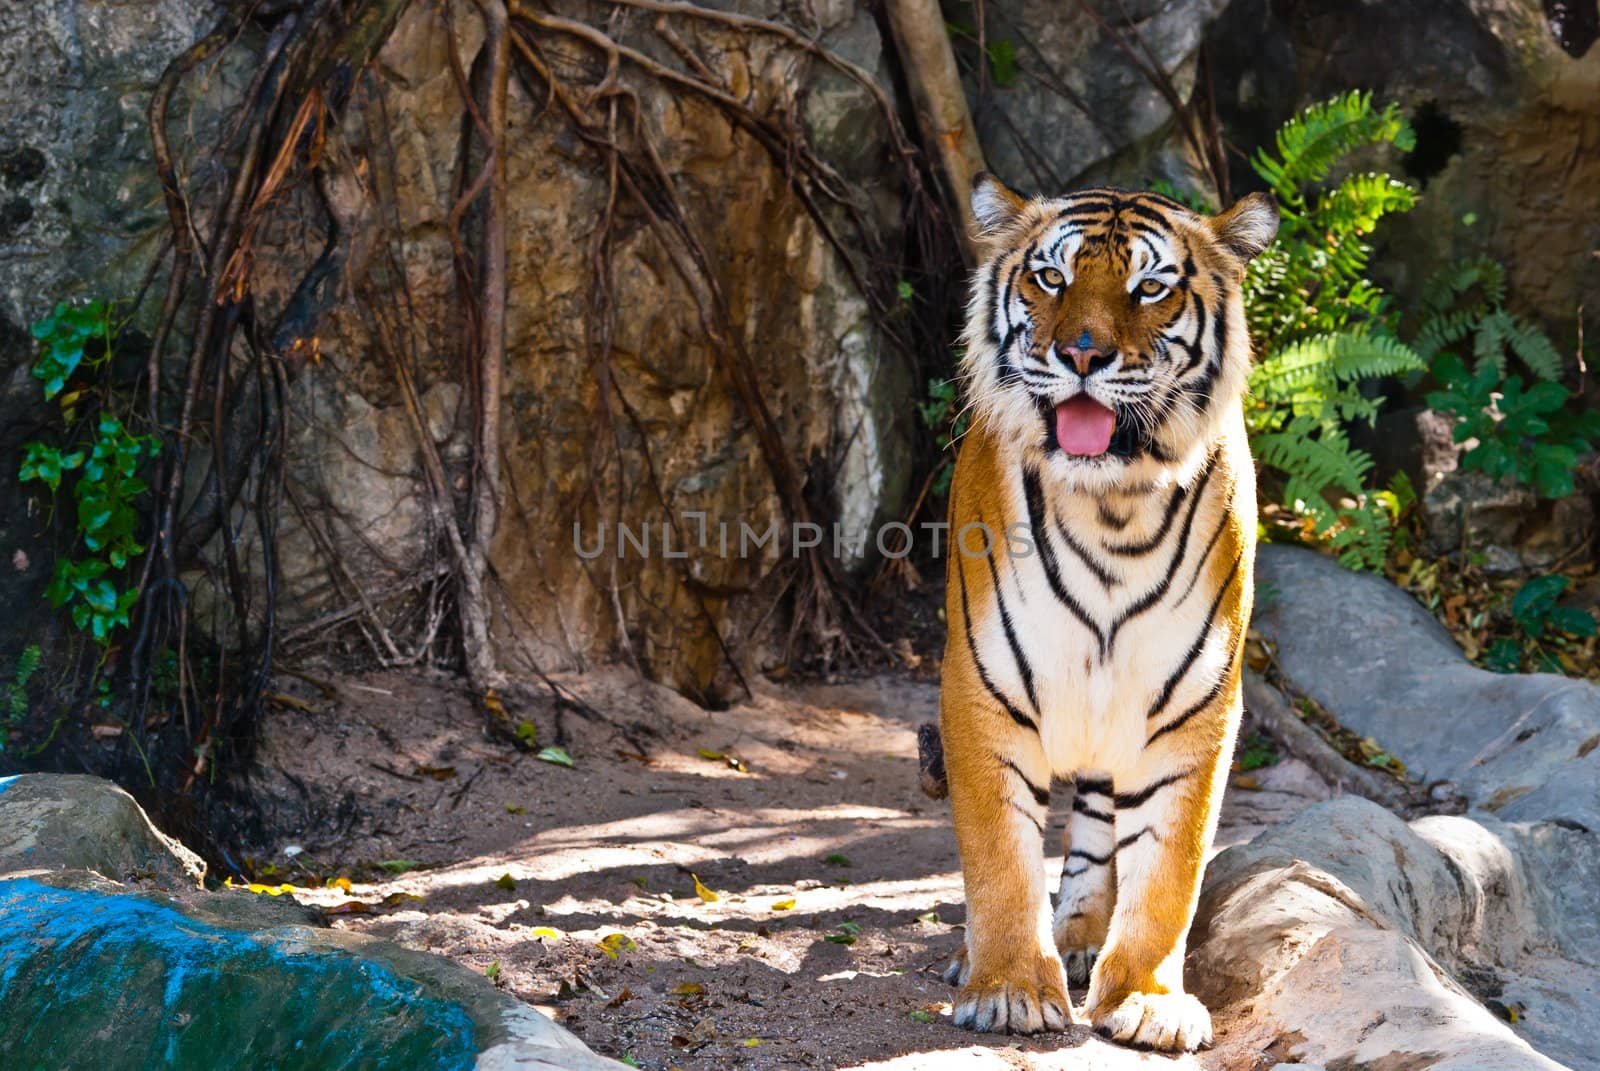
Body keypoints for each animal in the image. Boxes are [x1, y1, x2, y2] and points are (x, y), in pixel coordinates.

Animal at [934, 177, 1273, 1050]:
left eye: (1149, 288)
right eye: (1051, 279)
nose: (1082, 355)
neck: (1111, 507)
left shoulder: (1196, 703)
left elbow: (1169, 868)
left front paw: (1147, 997)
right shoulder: (983, 685)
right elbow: (1000, 854)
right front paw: (1010, 987)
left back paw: (1085, 935)